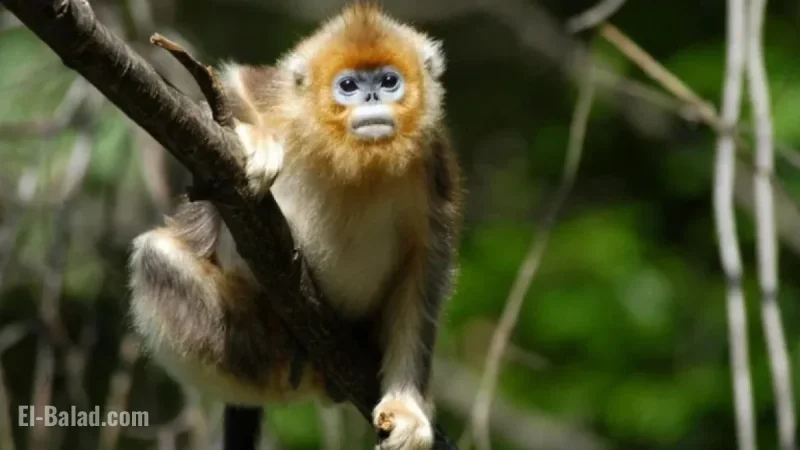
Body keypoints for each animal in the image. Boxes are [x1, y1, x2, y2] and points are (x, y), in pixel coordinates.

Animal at [128, 3, 462, 449]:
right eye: (349, 86)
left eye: (390, 81)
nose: (372, 96)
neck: (355, 159)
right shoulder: (277, 99)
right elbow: (233, 84)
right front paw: (254, 139)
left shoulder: (433, 166)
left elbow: (424, 275)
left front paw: (408, 409)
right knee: (155, 258)